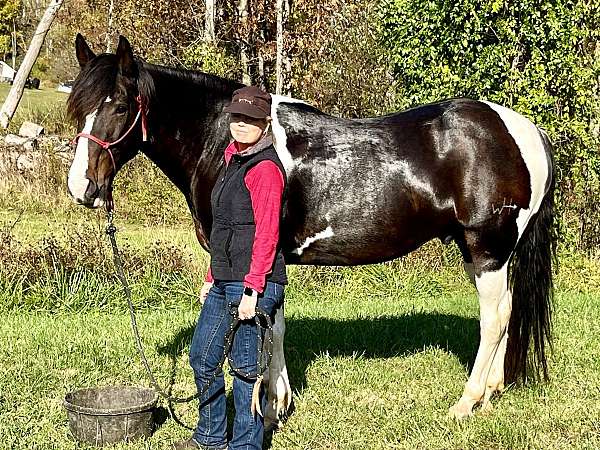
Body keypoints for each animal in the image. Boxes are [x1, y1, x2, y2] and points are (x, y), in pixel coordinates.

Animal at [68, 36, 556, 426]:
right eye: (78, 109)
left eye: (120, 105)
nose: (81, 187)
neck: (229, 142)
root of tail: (525, 130)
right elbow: (273, 324)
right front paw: (276, 400)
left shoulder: (264, 257)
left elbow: (269, 327)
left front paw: (271, 405)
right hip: (480, 252)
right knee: (507, 309)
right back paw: (491, 392)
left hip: (488, 248)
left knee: (494, 319)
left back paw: (466, 402)